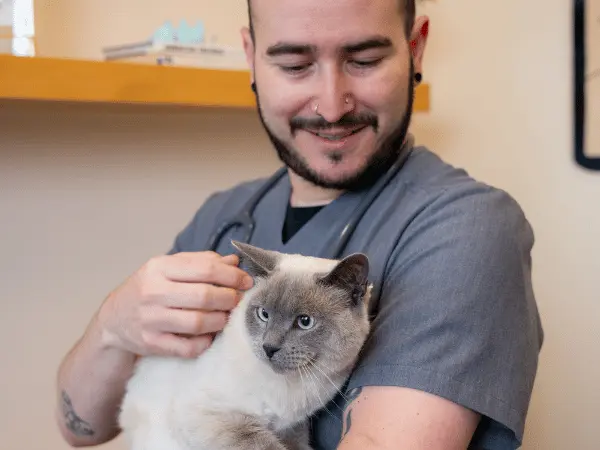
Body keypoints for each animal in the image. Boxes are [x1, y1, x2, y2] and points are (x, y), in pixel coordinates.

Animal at [118, 241, 372, 450]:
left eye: (305, 321)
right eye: (264, 314)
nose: (269, 347)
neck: (292, 388)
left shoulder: (291, 427)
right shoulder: (212, 417)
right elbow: (265, 446)